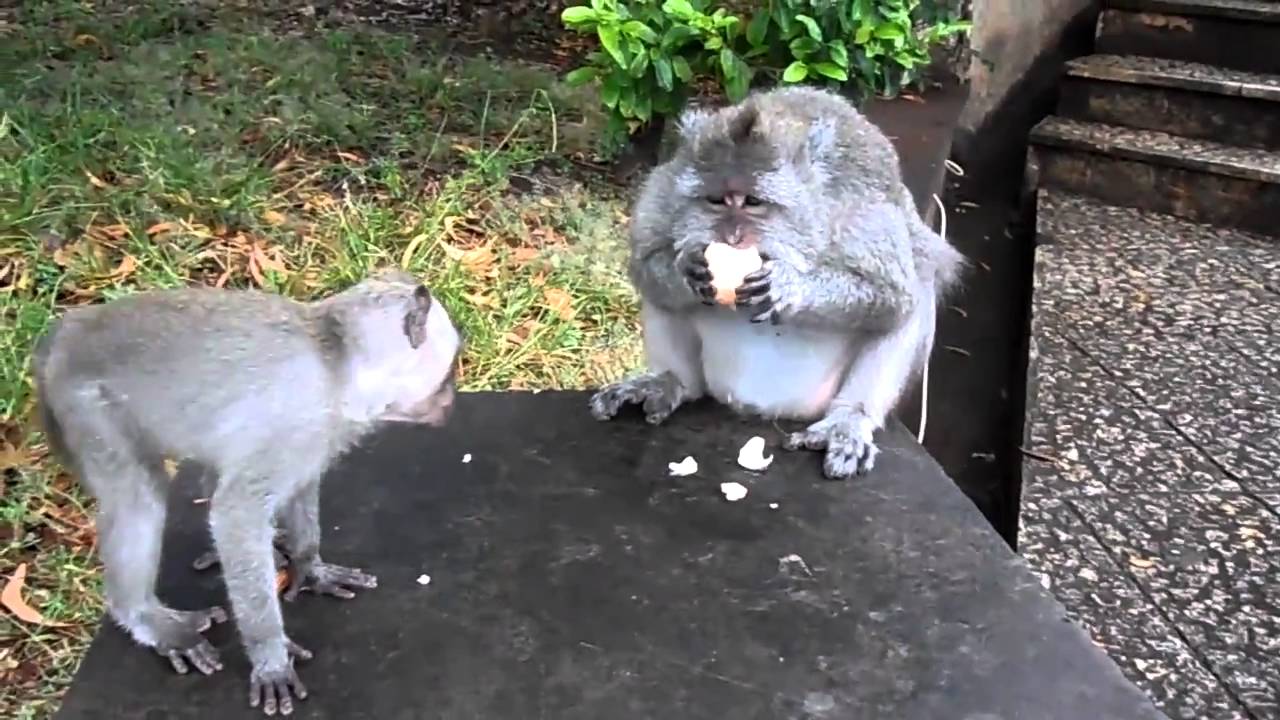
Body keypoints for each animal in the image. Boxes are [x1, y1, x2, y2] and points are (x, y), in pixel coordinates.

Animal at [30, 269, 461, 716]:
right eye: (449, 371)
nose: (451, 399)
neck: (336, 363)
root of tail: (68, 331)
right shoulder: (296, 421)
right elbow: (236, 515)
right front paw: (270, 656)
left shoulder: (316, 432)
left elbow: (300, 486)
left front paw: (309, 566)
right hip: (88, 409)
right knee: (140, 495)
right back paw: (142, 615)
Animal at [589, 85, 965, 479]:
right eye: (716, 200)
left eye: (753, 201)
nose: (733, 237)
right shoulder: (663, 189)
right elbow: (644, 263)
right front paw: (687, 270)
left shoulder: (863, 213)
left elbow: (893, 296)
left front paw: (790, 288)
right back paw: (672, 381)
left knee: (918, 285)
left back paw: (848, 418)